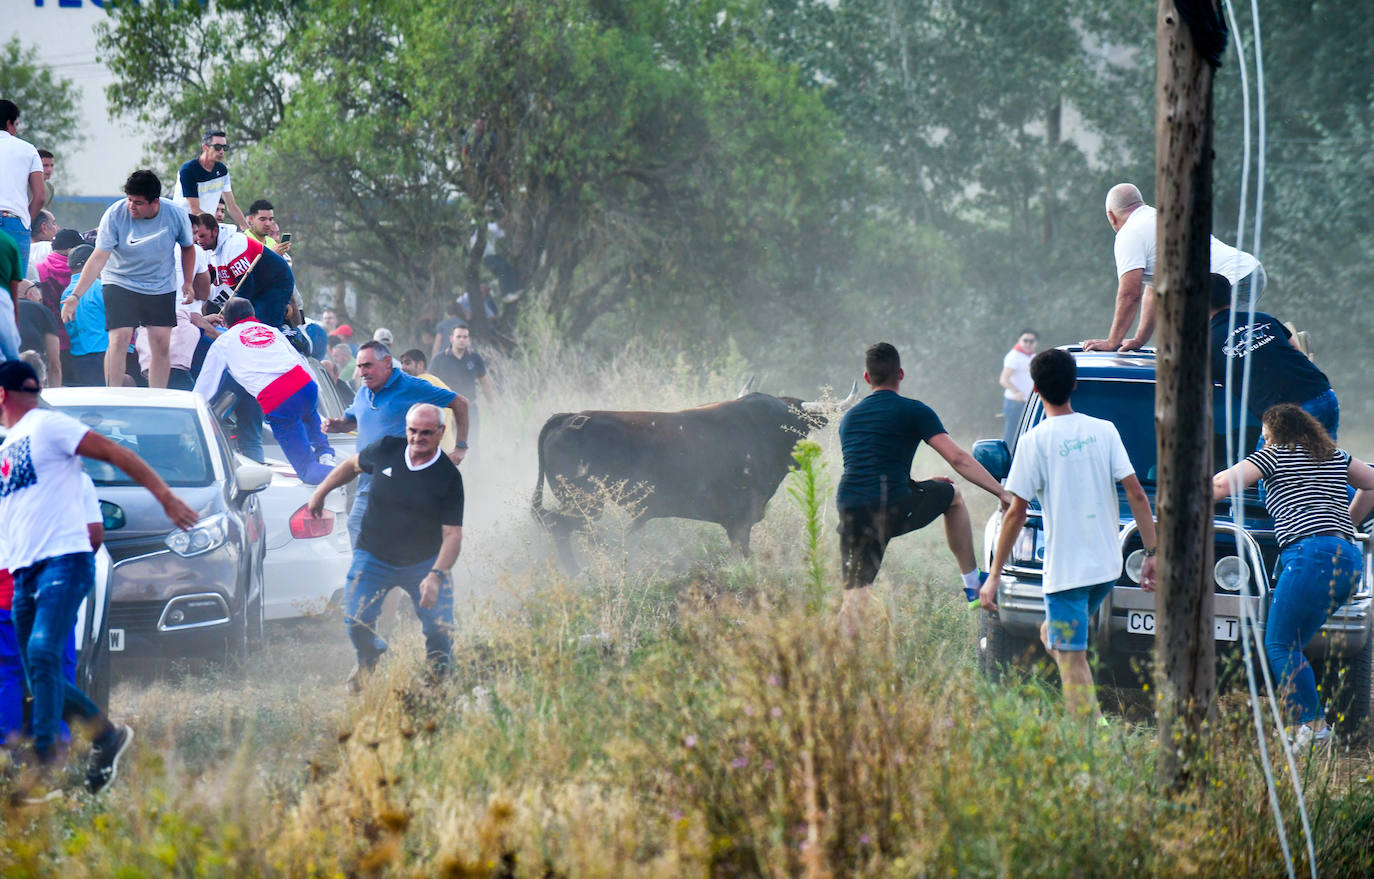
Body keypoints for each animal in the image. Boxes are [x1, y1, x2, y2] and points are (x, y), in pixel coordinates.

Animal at [535, 390, 846, 563]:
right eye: (795, 424)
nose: (801, 458)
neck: (761, 429)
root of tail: (567, 418)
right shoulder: (740, 520)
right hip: (585, 503)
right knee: (562, 528)